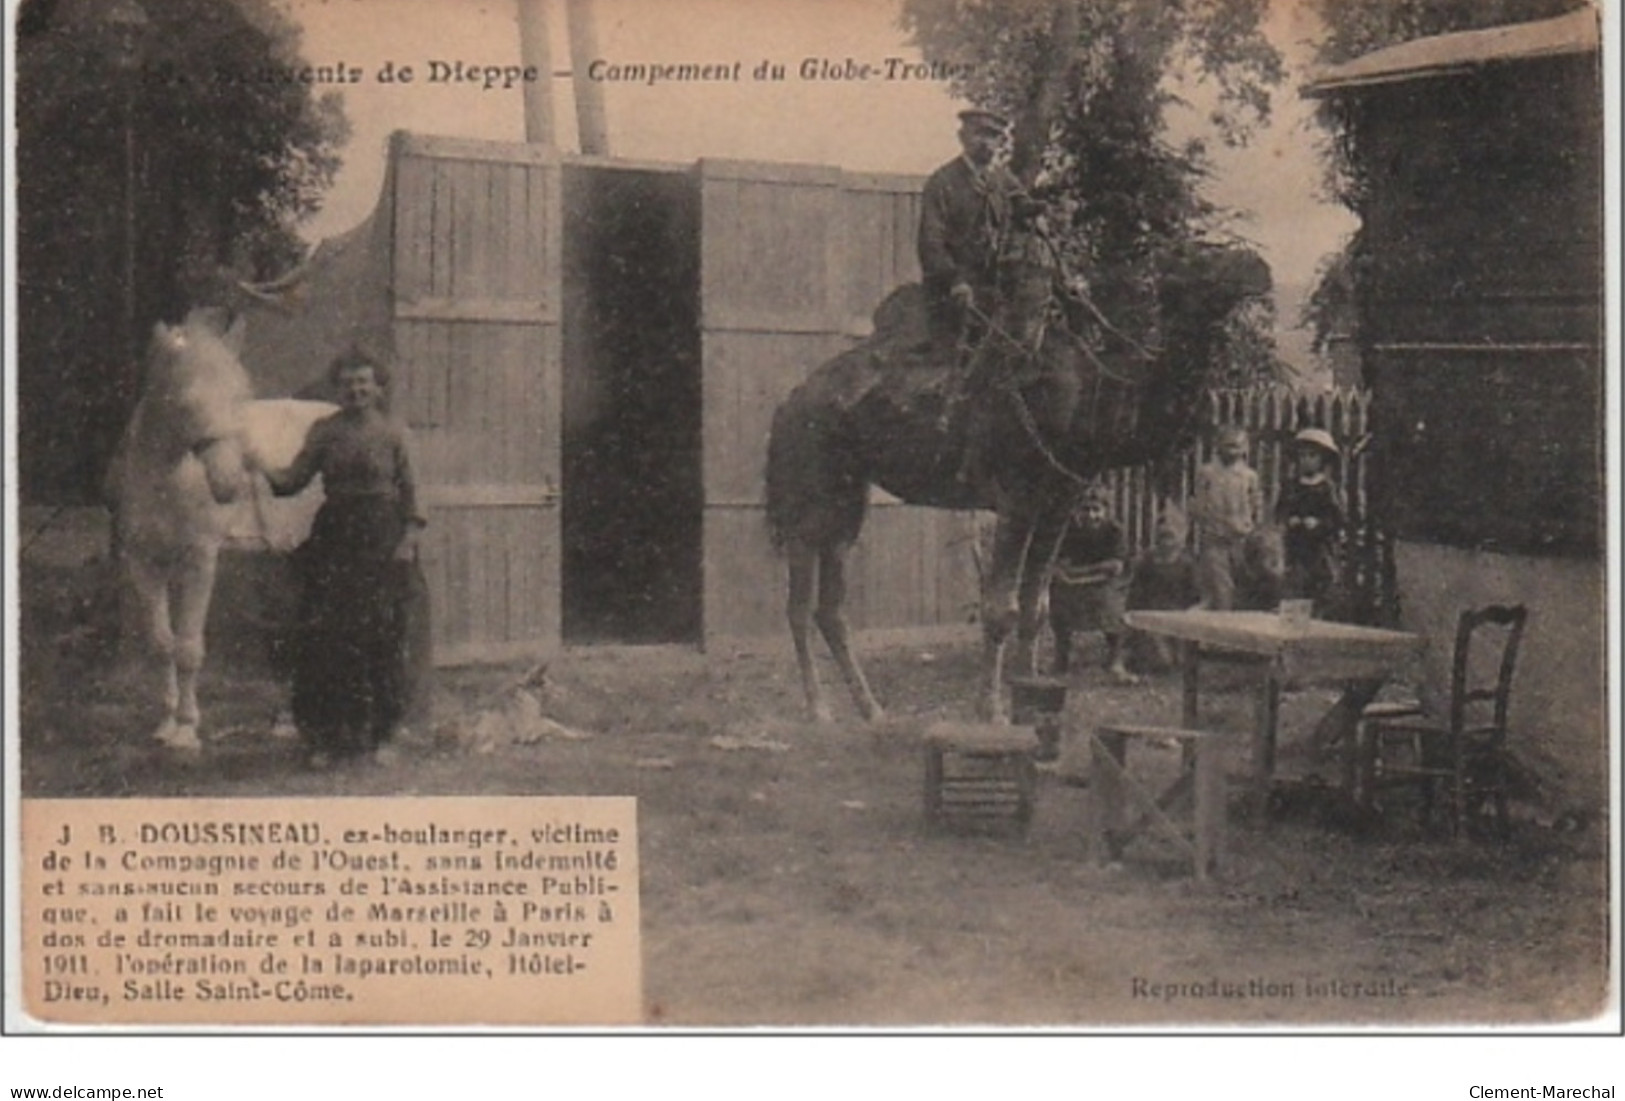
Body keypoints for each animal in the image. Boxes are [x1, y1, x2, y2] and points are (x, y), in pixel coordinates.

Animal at [107, 313, 329, 759]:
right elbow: (163, 642)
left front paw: (187, 730)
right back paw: (288, 720)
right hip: (295, 556)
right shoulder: (144, 561)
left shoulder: (199, 559)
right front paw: (165, 723)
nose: (228, 483)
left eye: (239, 396)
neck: (166, 480)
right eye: (187, 401)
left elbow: (189, 647)